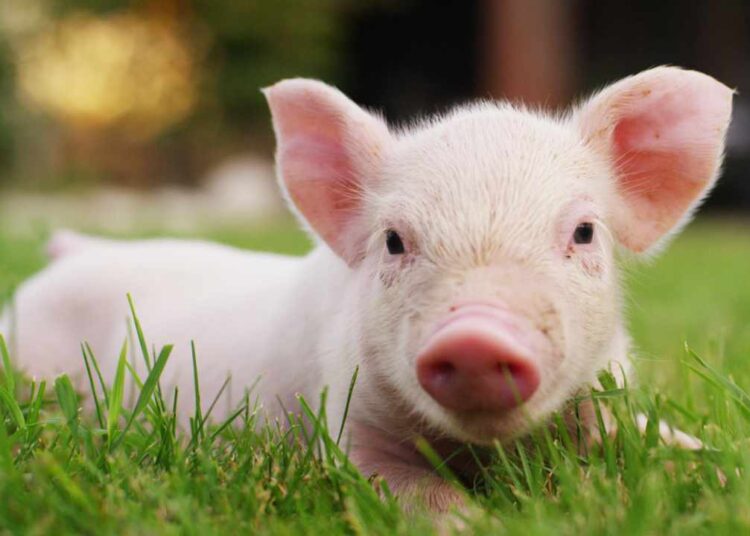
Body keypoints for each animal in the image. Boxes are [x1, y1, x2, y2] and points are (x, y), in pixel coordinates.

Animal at [0, 66, 733, 511]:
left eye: (584, 232)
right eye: (395, 241)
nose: (476, 334)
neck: (485, 452)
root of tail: (78, 250)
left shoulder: (605, 400)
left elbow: (665, 443)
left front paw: (721, 472)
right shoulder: (347, 423)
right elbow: (413, 493)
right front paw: (480, 519)